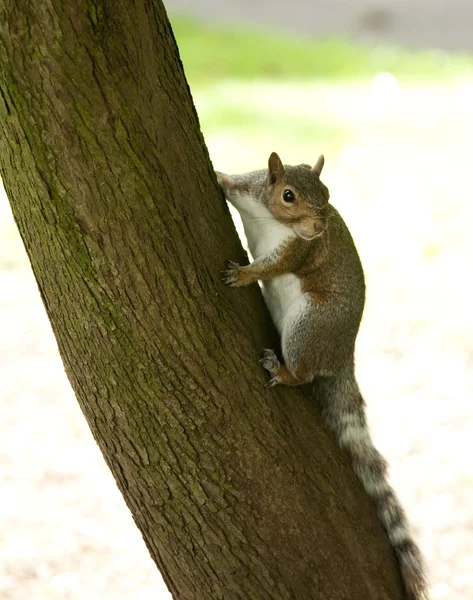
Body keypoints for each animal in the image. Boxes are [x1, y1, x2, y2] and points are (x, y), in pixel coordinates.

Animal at [218, 154, 428, 600]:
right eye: (288, 195)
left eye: (328, 194)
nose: (319, 226)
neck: (269, 218)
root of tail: (342, 355)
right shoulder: (251, 190)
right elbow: (233, 182)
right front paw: (220, 174)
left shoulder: (298, 250)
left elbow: (275, 264)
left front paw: (243, 275)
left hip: (308, 327)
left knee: (302, 373)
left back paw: (281, 371)